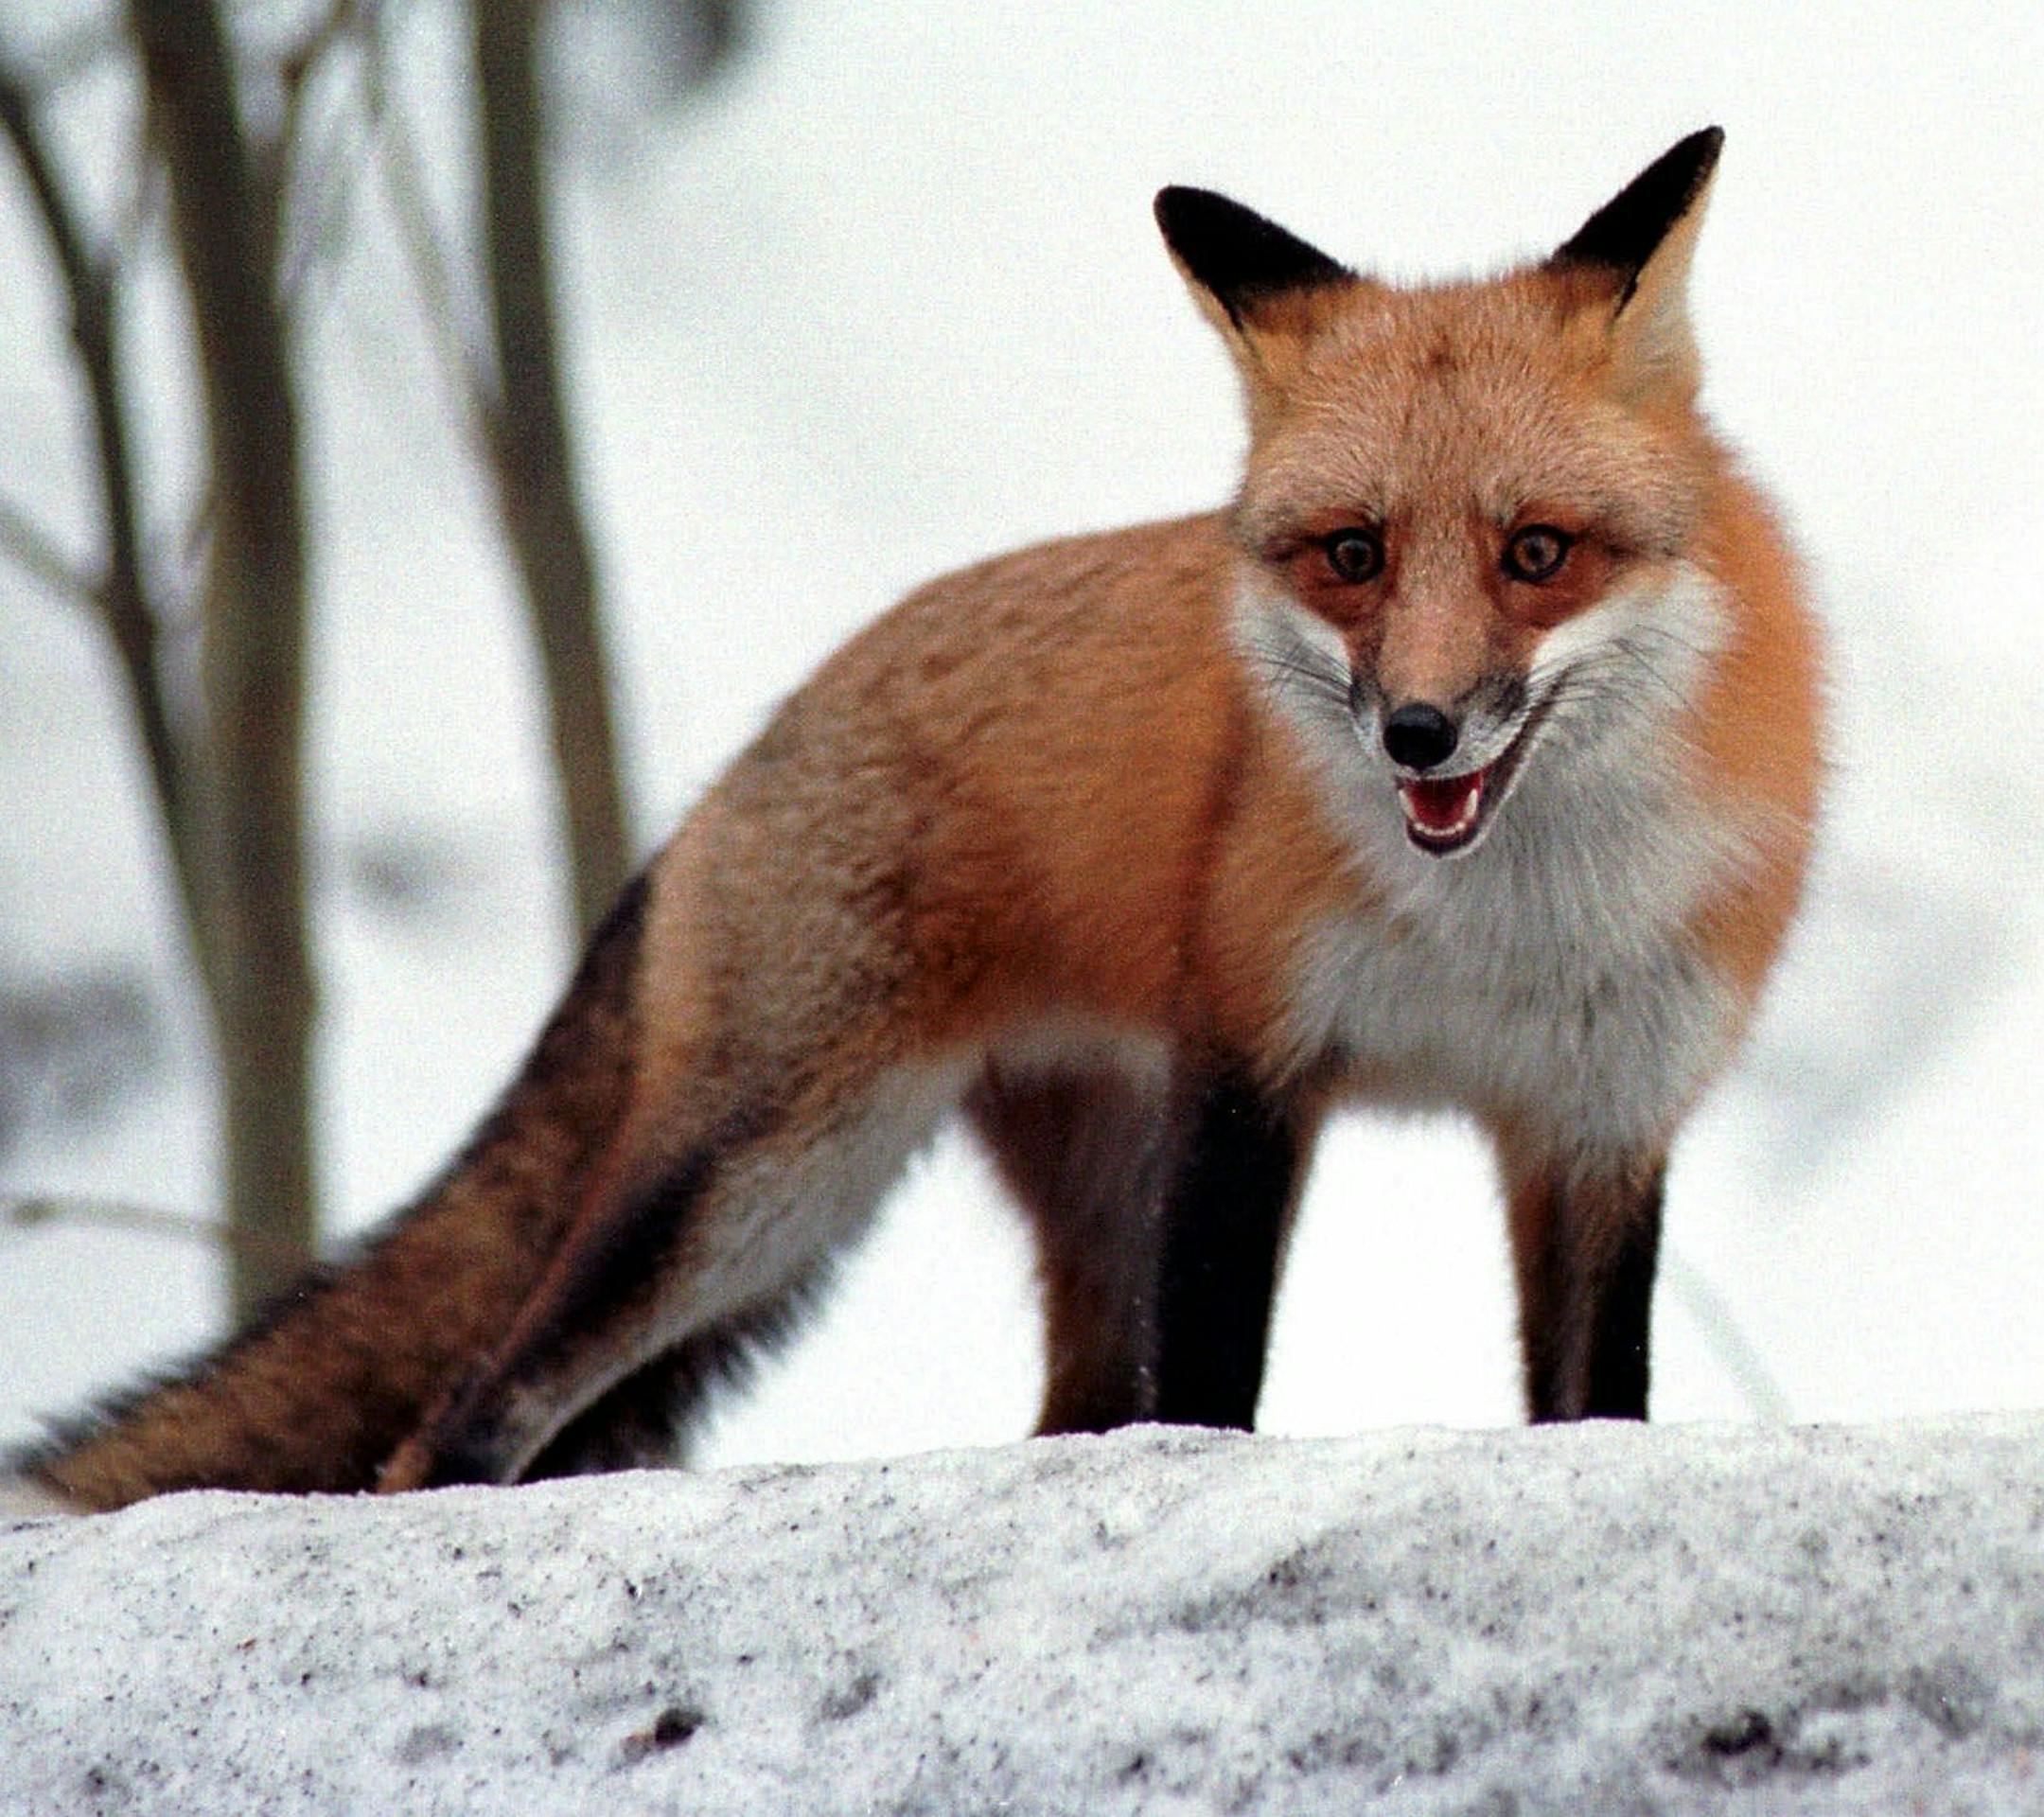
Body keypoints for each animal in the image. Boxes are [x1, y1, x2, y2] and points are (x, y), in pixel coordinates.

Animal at [9, 128, 1821, 1512]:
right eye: (1353, 555)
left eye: (1538, 554)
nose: (1417, 729)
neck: (1510, 929)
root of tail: (751, 748)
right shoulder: (1252, 1069)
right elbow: (1214, 1382)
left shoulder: (1597, 1122)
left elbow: (1593, 1407)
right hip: (757, 1185)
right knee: (460, 1413)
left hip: (1027, 1193)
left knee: (1061, 1416)